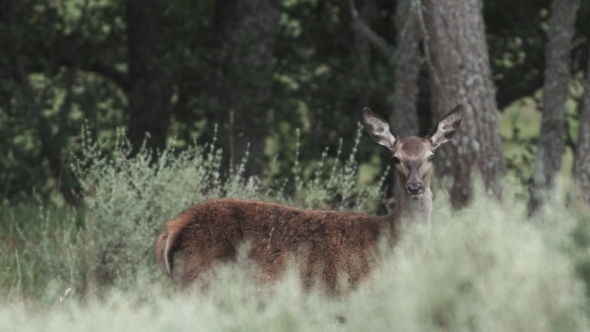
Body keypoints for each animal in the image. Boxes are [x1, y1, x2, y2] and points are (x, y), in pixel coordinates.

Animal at [155, 104, 464, 290]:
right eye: (395, 158)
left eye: (431, 156)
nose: (414, 187)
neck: (393, 241)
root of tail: (170, 230)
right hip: (199, 282)